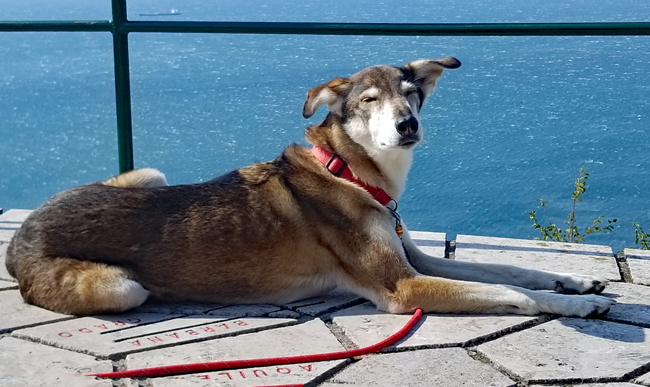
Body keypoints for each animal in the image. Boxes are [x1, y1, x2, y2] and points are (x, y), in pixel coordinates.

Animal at [5, 58, 612, 318]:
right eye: (368, 100)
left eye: (411, 92)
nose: (407, 125)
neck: (350, 172)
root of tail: (19, 236)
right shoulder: (403, 287)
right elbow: (515, 294)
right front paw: (575, 306)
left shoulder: (415, 260)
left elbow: (510, 270)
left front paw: (574, 281)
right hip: (119, 287)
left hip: (151, 174)